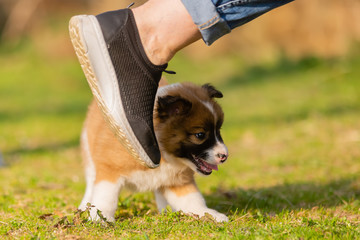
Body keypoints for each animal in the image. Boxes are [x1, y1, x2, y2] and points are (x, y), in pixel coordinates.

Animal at [80, 81, 229, 222]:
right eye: (200, 135)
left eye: (218, 130)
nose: (224, 156)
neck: (160, 150)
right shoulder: (110, 170)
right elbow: (106, 197)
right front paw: (100, 217)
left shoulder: (177, 180)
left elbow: (193, 199)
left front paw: (210, 214)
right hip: (89, 155)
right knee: (91, 184)